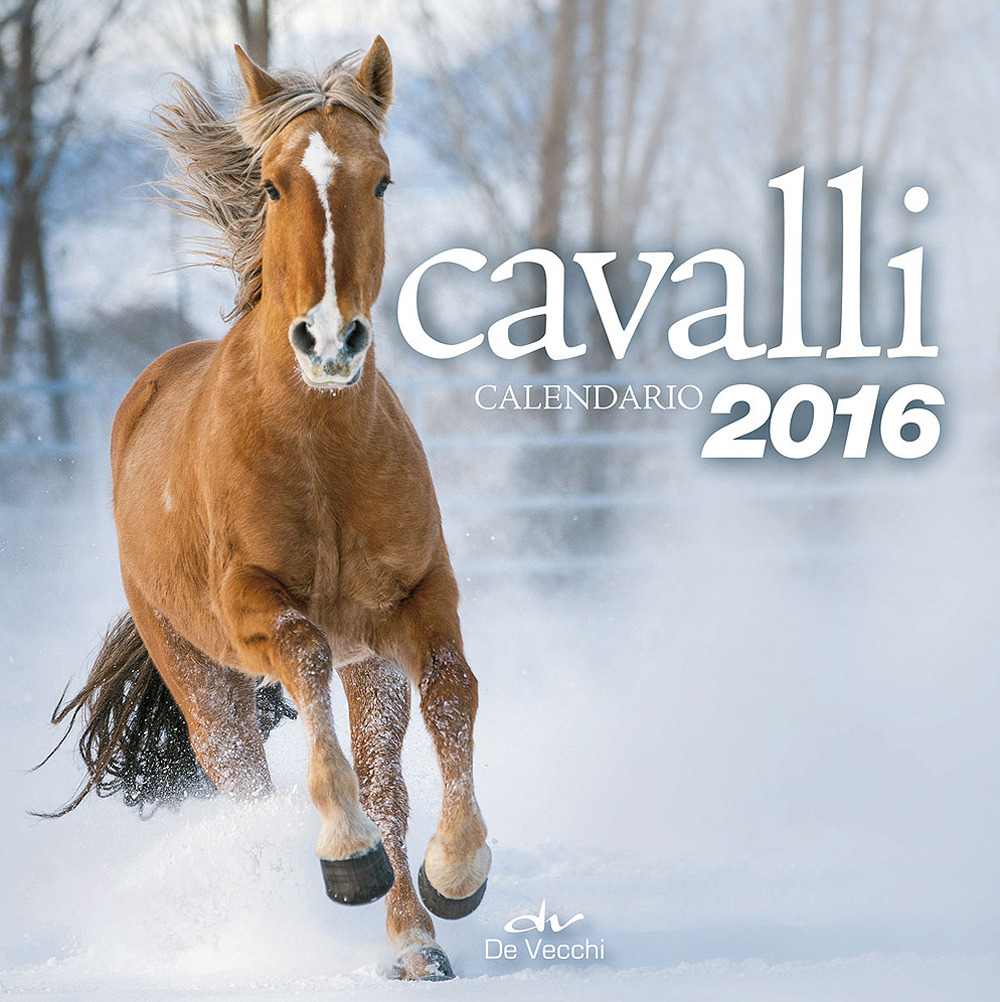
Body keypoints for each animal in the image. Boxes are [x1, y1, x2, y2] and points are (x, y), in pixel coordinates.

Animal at [41, 38, 490, 982]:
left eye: (382, 180)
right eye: (276, 185)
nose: (329, 340)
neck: (317, 450)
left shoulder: (413, 602)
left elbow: (453, 691)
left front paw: (458, 872)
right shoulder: (254, 608)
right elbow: (303, 654)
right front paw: (344, 856)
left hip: (369, 663)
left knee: (387, 785)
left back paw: (415, 945)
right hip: (201, 680)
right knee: (247, 785)